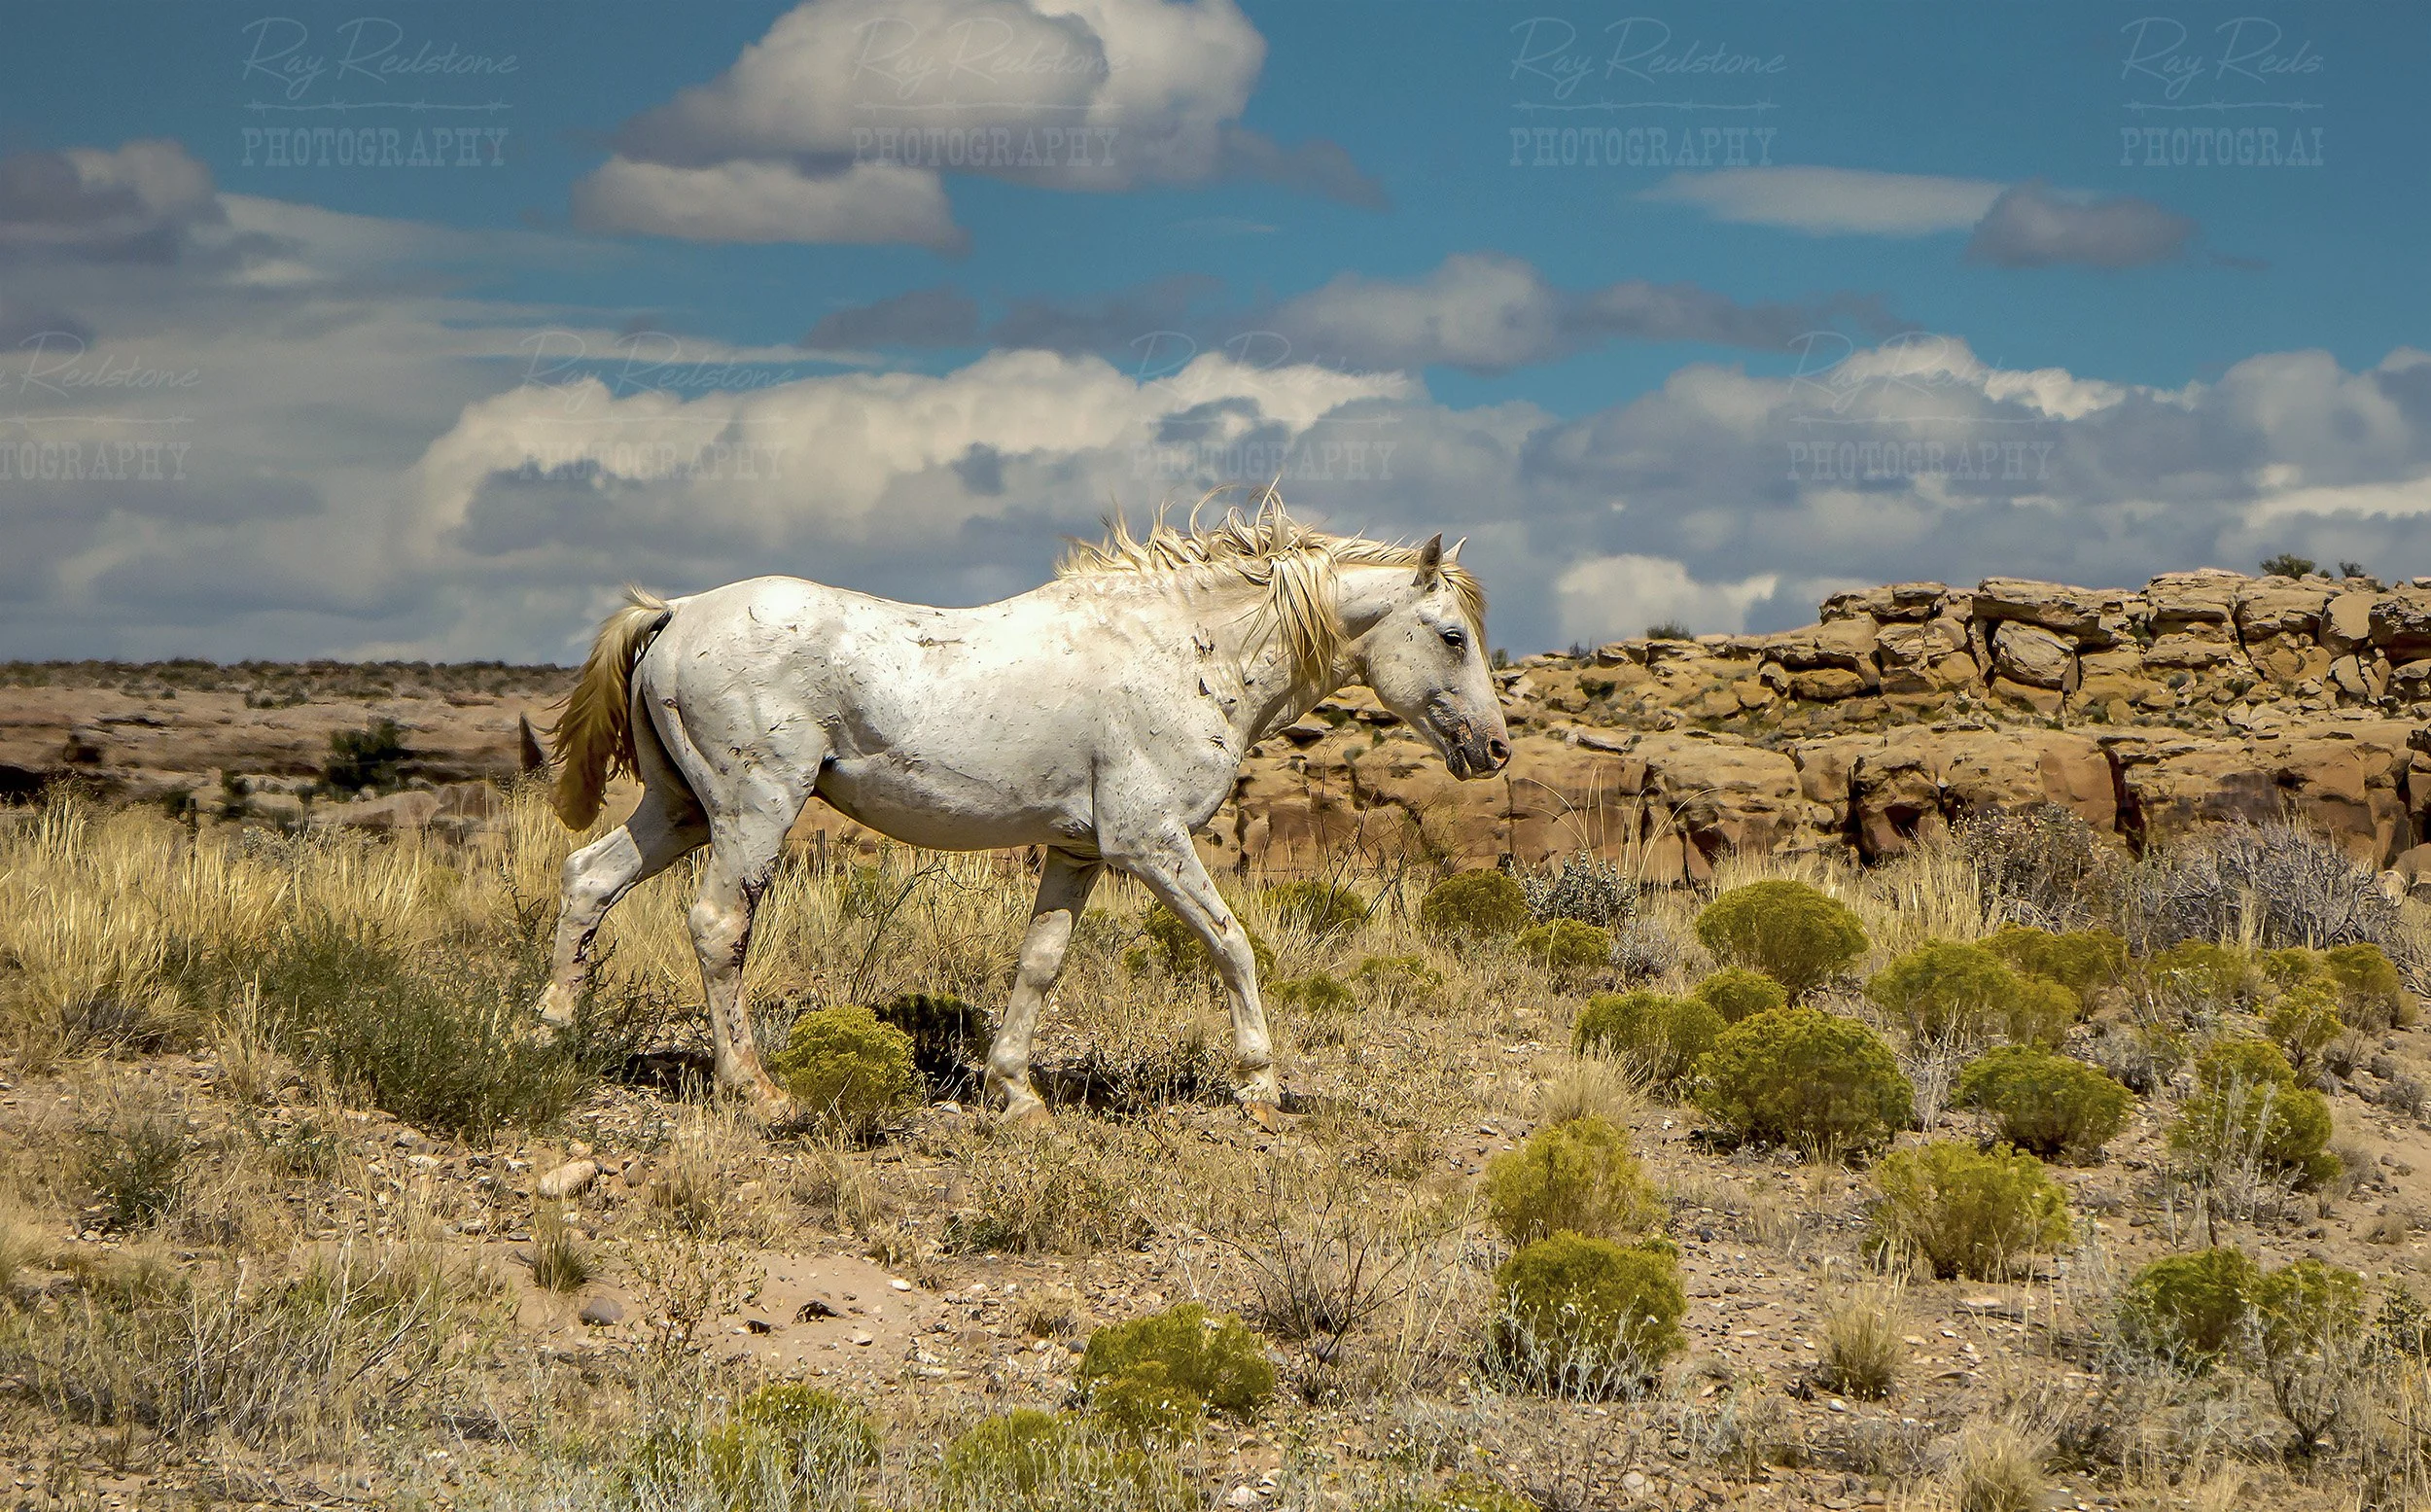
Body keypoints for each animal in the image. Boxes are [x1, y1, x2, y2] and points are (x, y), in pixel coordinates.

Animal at [534, 500, 1511, 1127]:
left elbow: (1039, 965)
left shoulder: (1079, 853)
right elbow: (1233, 943)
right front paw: (1261, 1084)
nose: (1495, 749)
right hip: (752, 811)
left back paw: (553, 1034)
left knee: (588, 880)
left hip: (680, 810)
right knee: (718, 925)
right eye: (1451, 636)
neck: (1186, 650)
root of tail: (676, 612)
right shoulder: (1150, 844)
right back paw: (760, 1090)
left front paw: (1017, 1093)